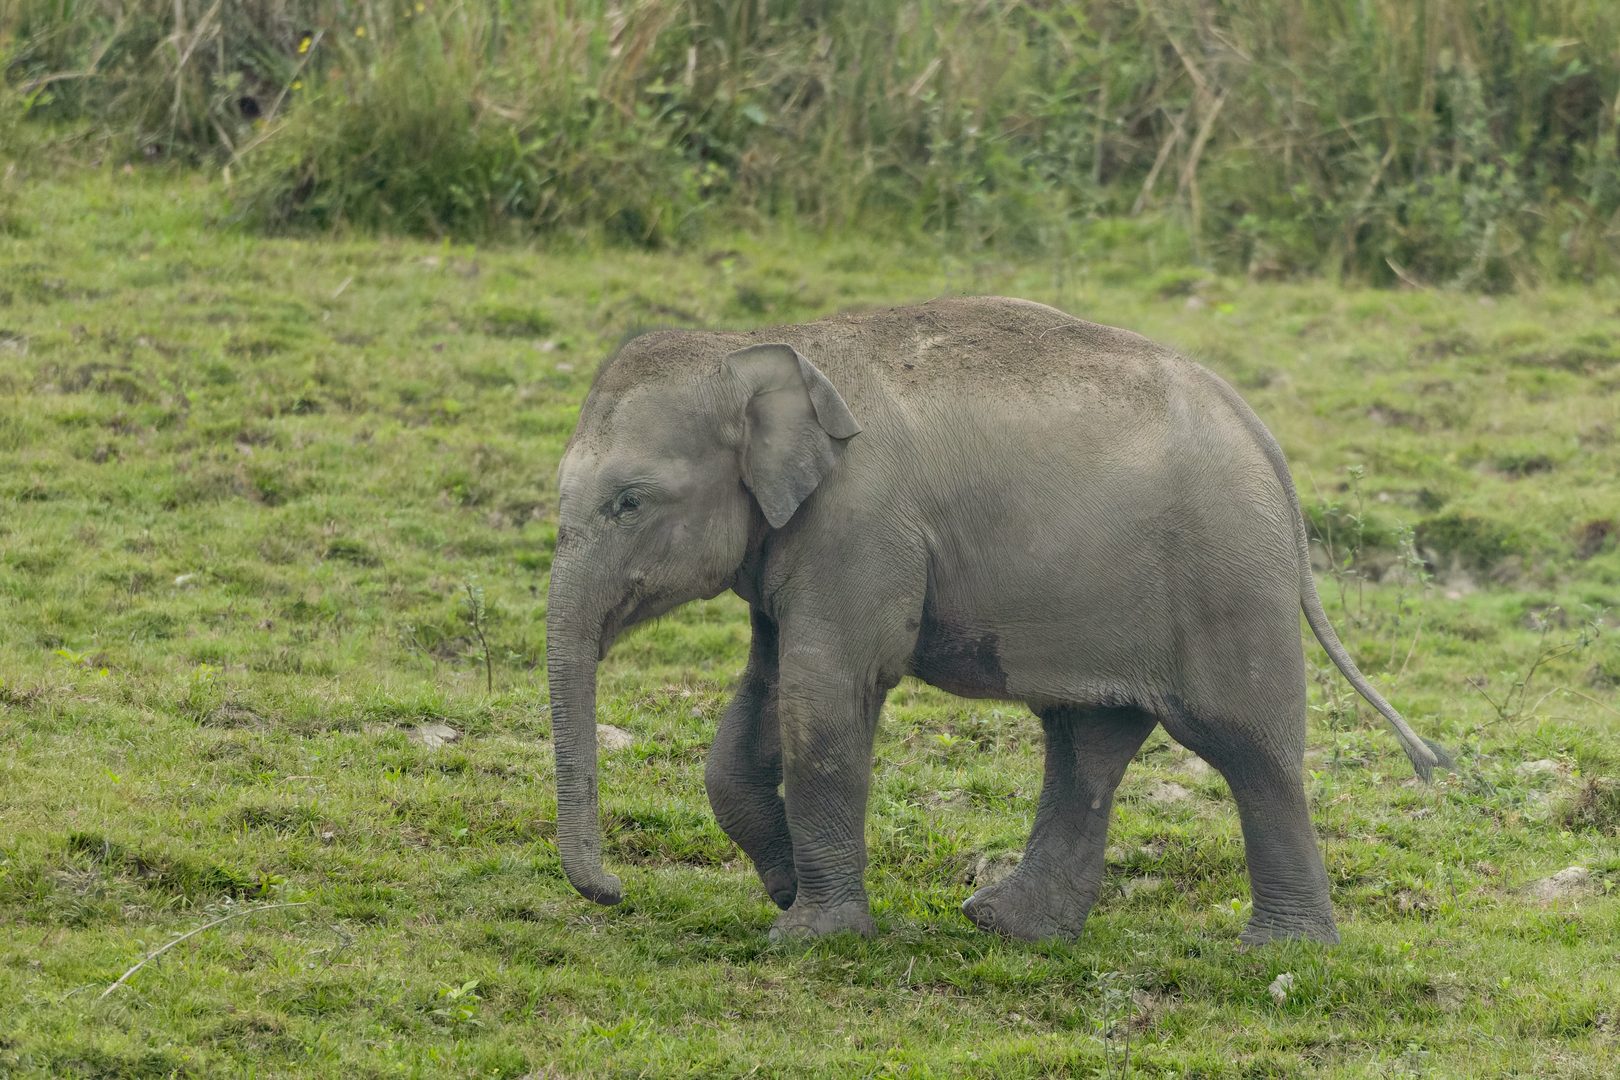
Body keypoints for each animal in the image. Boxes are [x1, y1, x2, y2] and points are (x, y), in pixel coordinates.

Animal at [546, 296, 1448, 946]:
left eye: (630, 502)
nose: (612, 892)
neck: (759, 345)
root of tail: (1266, 440)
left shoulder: (862, 530)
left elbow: (829, 695)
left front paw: (809, 934)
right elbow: (765, 696)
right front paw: (785, 887)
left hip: (1229, 578)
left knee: (1247, 745)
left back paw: (1281, 951)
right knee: (1089, 739)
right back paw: (1009, 926)